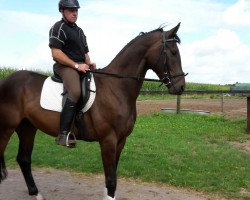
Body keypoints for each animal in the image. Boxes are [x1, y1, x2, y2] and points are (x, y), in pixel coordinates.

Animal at [0, 23, 186, 198]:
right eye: (173, 52)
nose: (181, 87)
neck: (116, 87)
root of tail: (6, 80)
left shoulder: (120, 141)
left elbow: (111, 177)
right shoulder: (108, 140)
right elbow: (111, 180)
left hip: (27, 128)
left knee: (24, 159)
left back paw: (35, 193)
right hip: (7, 128)